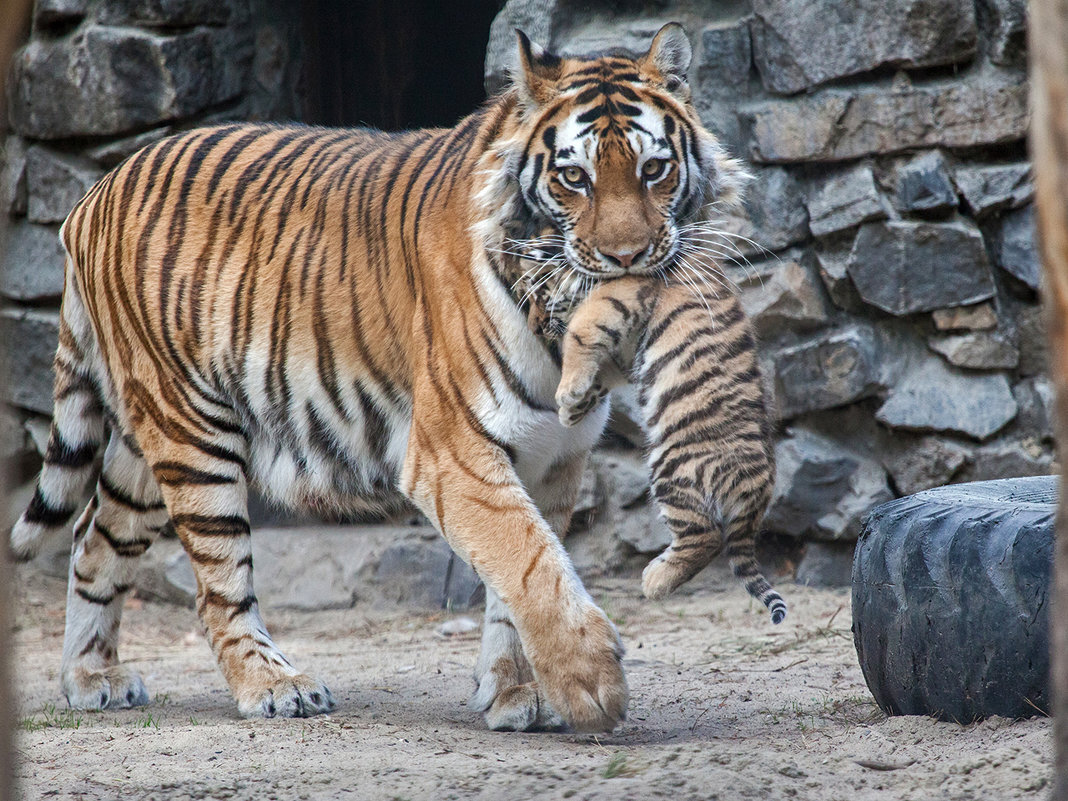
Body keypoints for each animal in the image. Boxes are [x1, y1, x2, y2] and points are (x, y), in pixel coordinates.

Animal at [10, 23, 743, 734]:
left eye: (654, 169)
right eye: (573, 177)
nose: (627, 258)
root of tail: (95, 193)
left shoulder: (555, 455)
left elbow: (519, 580)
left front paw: (516, 693)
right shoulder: (453, 452)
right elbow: (527, 558)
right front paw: (590, 682)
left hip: (144, 441)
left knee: (92, 538)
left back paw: (91, 678)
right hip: (192, 432)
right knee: (219, 586)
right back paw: (273, 686)